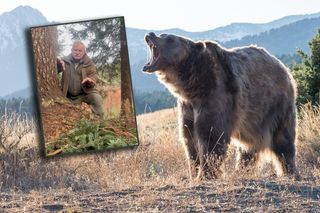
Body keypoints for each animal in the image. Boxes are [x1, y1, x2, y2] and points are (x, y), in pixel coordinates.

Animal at [144, 32, 298, 181]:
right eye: (162, 34)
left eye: (169, 38)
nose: (150, 34)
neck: (192, 85)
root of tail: (284, 68)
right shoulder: (187, 106)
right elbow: (189, 138)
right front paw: (194, 171)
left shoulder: (215, 93)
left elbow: (210, 135)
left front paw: (205, 174)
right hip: (252, 118)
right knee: (248, 146)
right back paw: (242, 169)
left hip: (275, 104)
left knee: (282, 139)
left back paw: (289, 170)